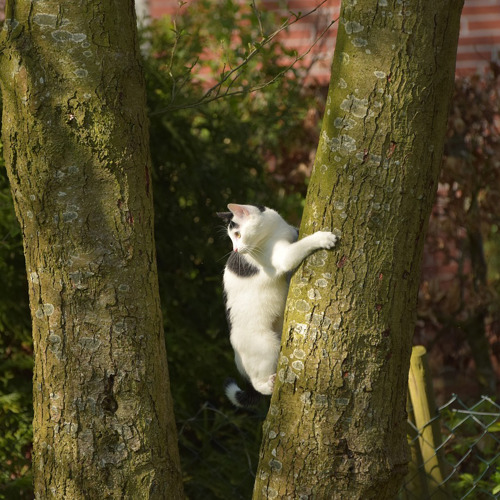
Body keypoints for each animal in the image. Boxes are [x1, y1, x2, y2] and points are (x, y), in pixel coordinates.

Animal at [217, 203, 338, 406]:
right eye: (233, 237)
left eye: (237, 235)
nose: (235, 250)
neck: (274, 228)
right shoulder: (283, 257)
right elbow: (303, 244)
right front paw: (323, 237)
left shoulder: (291, 231)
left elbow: (296, 234)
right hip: (267, 347)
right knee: (258, 384)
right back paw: (269, 384)